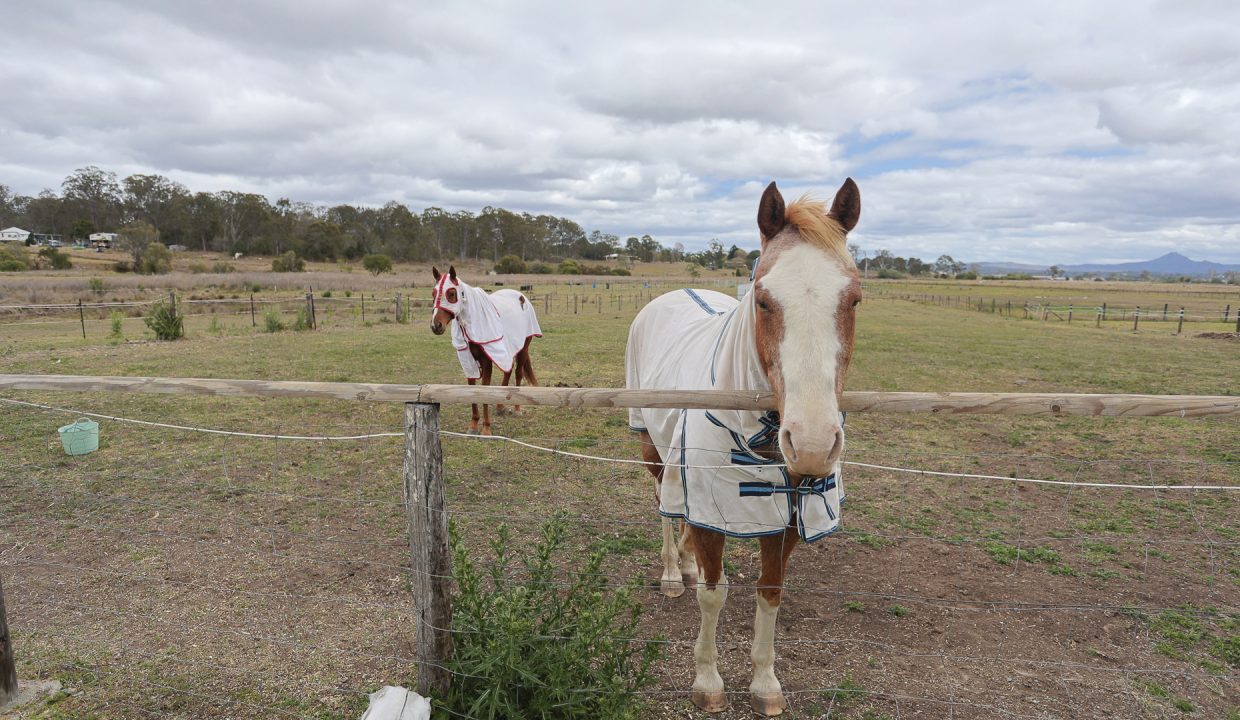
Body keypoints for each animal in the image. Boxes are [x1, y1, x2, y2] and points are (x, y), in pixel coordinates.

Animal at [429, 263, 540, 431]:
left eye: (452, 293)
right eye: (433, 293)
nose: (436, 326)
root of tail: (521, 296)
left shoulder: (486, 360)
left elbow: (484, 389)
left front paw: (486, 428)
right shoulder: (468, 359)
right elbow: (472, 388)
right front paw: (474, 424)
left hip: (523, 347)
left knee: (517, 373)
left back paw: (517, 409)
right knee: (508, 370)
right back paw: (500, 406)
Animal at [624, 178, 858, 713]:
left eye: (854, 299)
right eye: (764, 300)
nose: (812, 443)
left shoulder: (789, 518)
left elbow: (769, 593)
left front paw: (765, 682)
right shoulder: (712, 511)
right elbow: (714, 593)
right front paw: (708, 681)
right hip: (651, 448)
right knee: (663, 507)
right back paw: (674, 573)